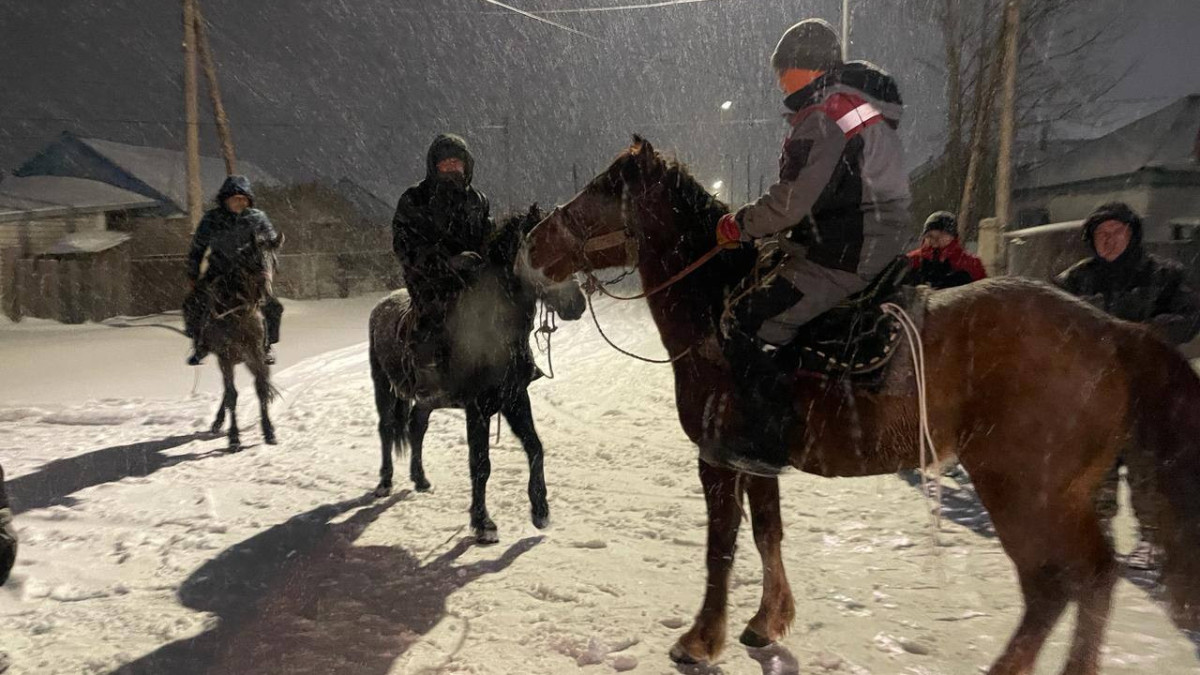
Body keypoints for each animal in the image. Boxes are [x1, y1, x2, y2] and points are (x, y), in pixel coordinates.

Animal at [369, 205, 585, 540]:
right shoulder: (478, 408)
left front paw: (540, 511)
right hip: (384, 387)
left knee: (417, 427)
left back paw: (420, 479)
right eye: (540, 250)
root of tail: (382, 306)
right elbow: (481, 464)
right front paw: (483, 524)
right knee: (387, 429)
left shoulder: (514, 399)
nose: (577, 303)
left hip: (428, 399)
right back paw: (384, 482)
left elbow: (535, 448)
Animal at [525, 136, 1200, 672]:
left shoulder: (717, 460)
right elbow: (768, 533)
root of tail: (1116, 331)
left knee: (1056, 586)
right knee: (1095, 577)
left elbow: (722, 550)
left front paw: (700, 639)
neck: (717, 308)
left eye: (598, 190)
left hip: (1022, 491)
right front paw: (765, 621)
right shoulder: (756, 463)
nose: (531, 243)